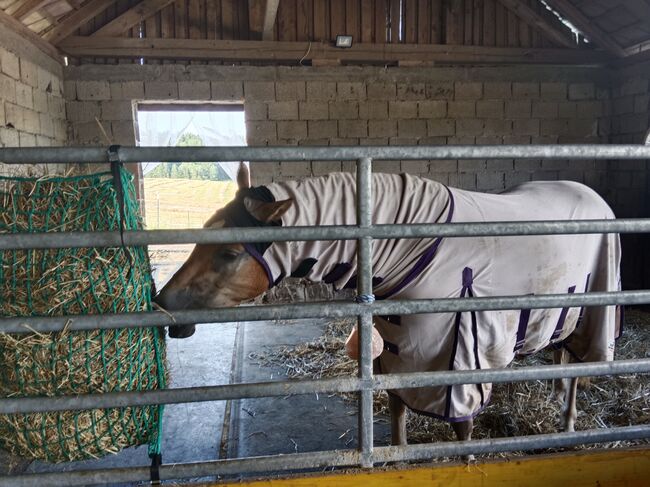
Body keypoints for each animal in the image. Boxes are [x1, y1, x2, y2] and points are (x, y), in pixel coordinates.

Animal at [154, 164, 620, 454]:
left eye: (230, 253)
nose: (161, 306)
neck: (413, 247)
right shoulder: (401, 351)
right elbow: (397, 413)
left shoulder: (460, 356)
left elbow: (463, 428)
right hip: (559, 312)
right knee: (561, 354)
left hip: (595, 312)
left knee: (583, 363)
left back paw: (568, 423)